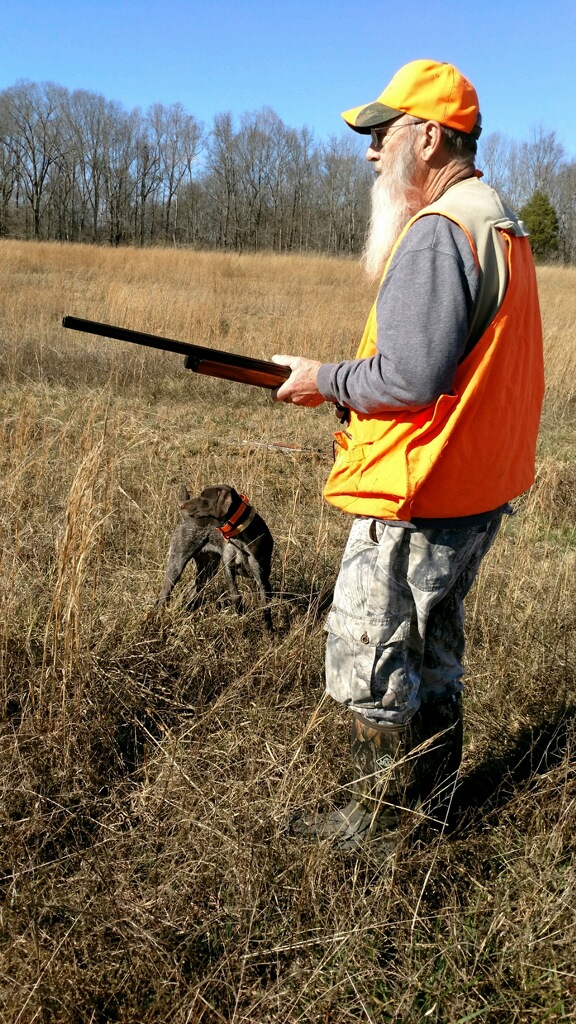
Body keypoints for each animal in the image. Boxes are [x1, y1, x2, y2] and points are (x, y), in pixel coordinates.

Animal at [152, 481, 272, 630]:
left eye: (204, 498)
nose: (182, 506)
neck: (238, 535)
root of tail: (186, 520)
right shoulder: (229, 569)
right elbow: (236, 596)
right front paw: (241, 616)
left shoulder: (261, 577)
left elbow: (266, 606)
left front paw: (268, 631)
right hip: (177, 565)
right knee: (163, 597)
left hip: (207, 570)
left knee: (188, 592)